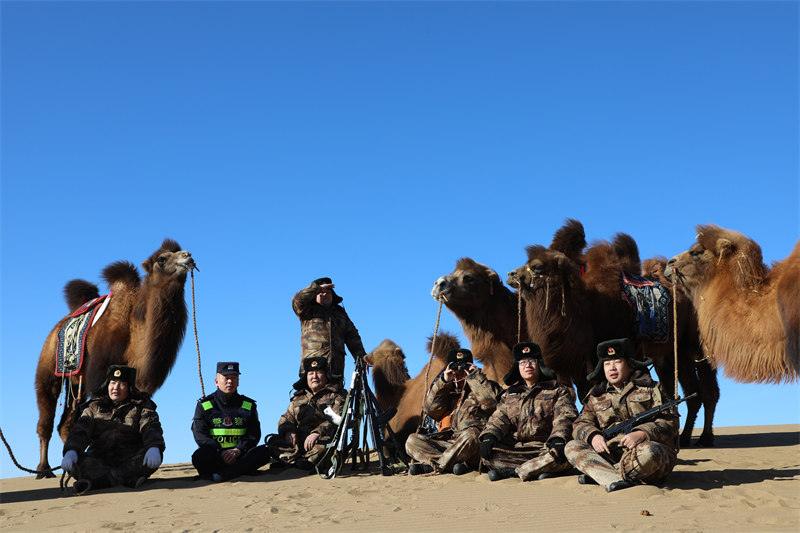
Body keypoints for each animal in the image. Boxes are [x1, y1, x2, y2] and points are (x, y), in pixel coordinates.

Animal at [34, 239, 197, 476]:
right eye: (162, 259)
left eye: (178, 250)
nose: (188, 255)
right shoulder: (99, 375)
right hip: (48, 369)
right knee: (46, 417)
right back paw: (44, 470)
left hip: (76, 382)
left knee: (65, 423)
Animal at [510, 219, 720, 444]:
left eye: (537, 266)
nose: (511, 274)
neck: (584, 307)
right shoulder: (577, 361)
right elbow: (581, 393)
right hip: (674, 353)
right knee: (689, 393)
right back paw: (684, 437)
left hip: (698, 346)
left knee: (708, 391)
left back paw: (705, 438)